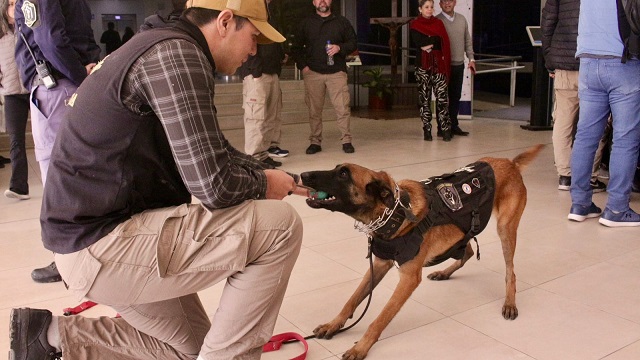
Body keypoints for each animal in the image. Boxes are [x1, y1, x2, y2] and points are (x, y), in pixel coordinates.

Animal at [300, 145, 544, 358]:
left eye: (343, 174)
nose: (302, 174)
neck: (395, 213)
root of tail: (510, 163)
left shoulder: (408, 279)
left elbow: (380, 318)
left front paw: (361, 347)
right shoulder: (378, 265)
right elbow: (352, 299)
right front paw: (333, 324)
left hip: (505, 229)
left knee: (510, 271)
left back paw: (510, 303)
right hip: (460, 234)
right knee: (467, 251)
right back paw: (444, 272)